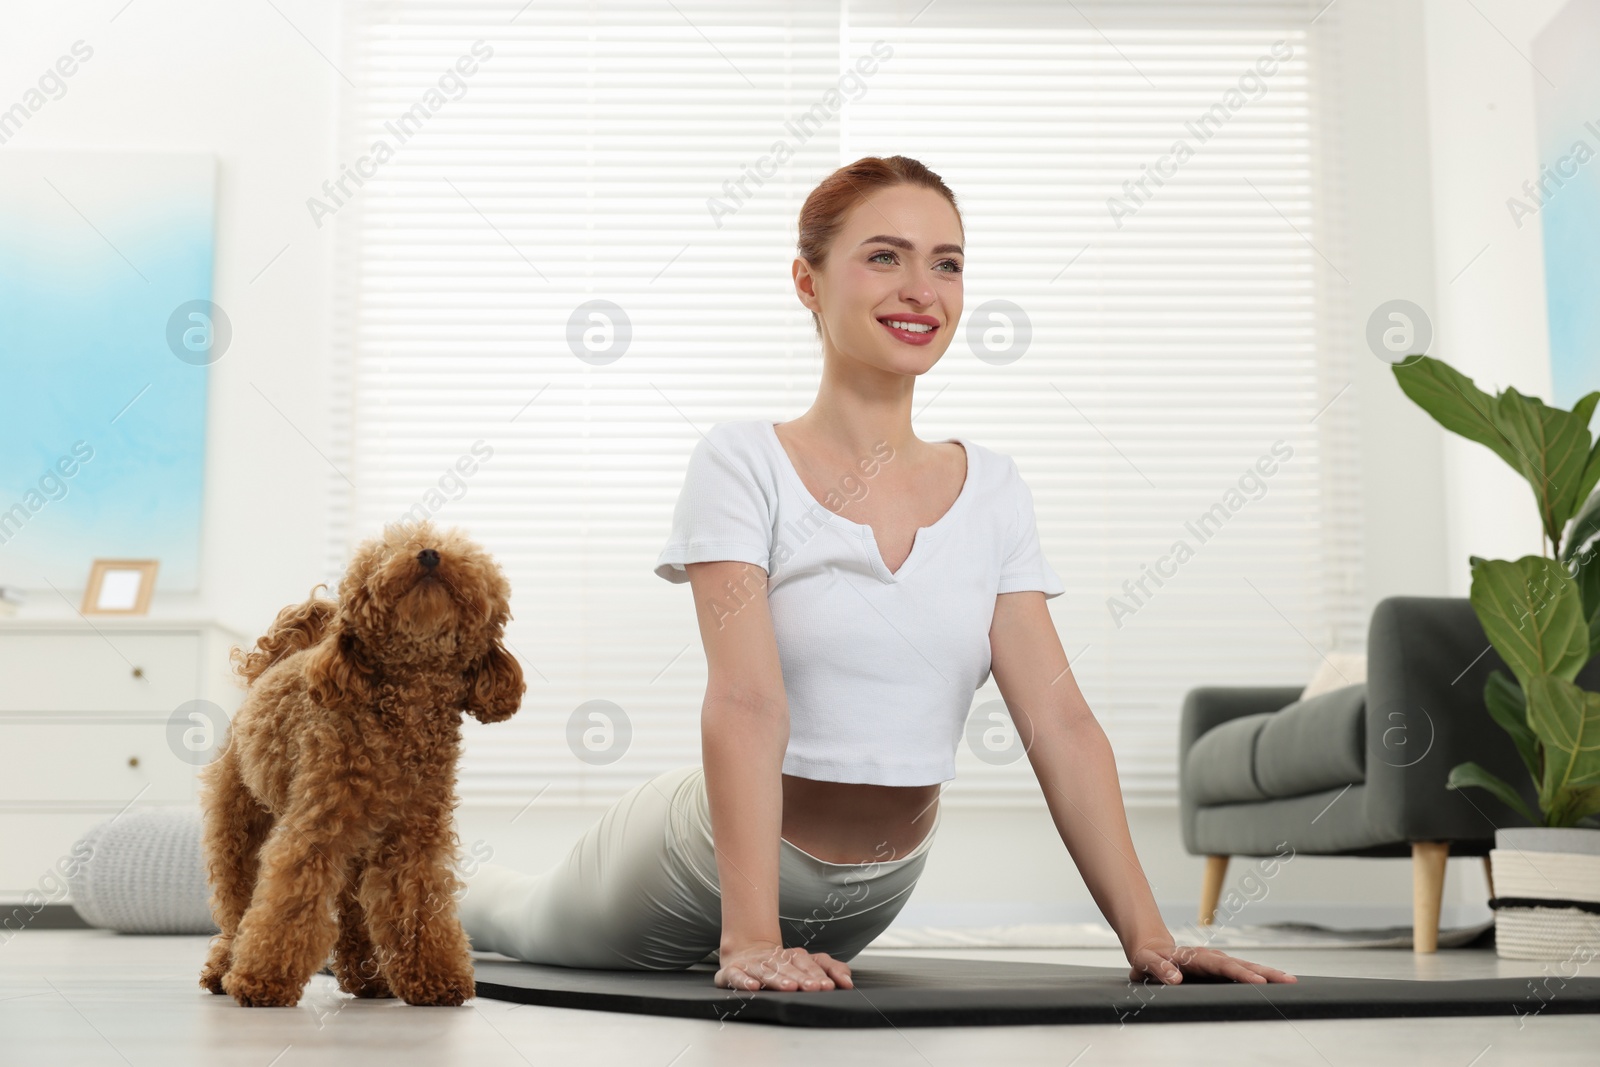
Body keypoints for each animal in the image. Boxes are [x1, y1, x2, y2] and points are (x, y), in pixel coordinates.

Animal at [197, 521, 524, 1004]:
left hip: (355, 847)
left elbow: (416, 906)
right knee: (236, 909)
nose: (428, 554)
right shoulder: (314, 829)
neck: (404, 711)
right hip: (239, 828)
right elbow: (287, 901)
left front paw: (435, 979)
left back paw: (368, 979)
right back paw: (225, 969)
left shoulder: (414, 840)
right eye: (388, 552)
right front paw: (262, 980)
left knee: (351, 909)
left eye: (458, 551)